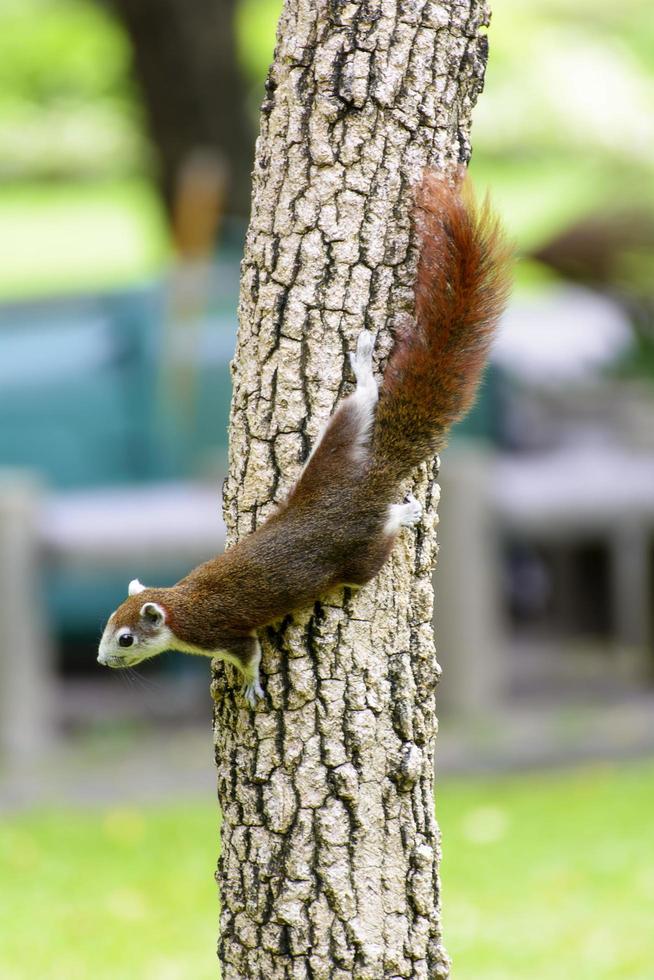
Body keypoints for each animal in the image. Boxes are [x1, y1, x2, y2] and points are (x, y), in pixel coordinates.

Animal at [97, 170, 512, 704]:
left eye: (127, 638)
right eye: (108, 624)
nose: (102, 660)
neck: (180, 603)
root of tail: (368, 483)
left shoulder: (223, 633)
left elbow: (250, 654)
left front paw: (252, 686)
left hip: (358, 558)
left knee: (380, 537)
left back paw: (404, 512)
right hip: (331, 453)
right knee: (359, 404)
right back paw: (364, 370)